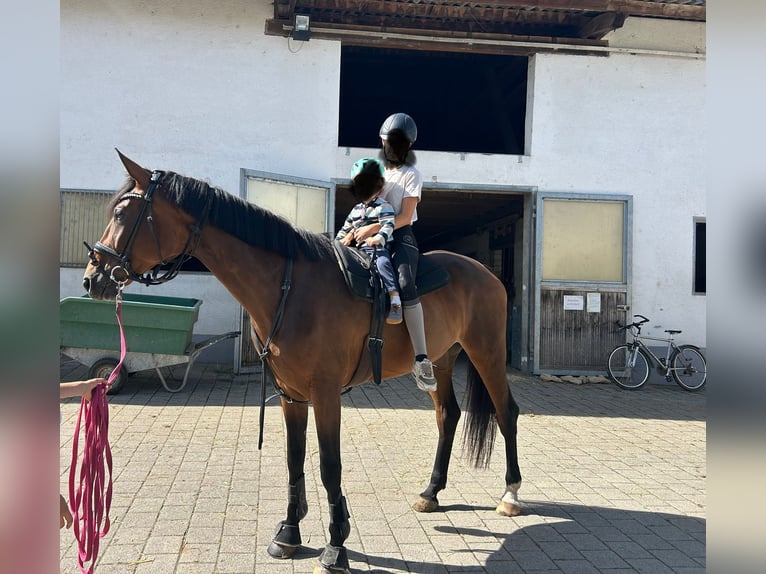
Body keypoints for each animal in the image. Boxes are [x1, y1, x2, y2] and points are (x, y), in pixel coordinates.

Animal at [82, 151, 523, 574]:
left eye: (122, 214)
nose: (92, 278)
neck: (290, 289)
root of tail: (485, 273)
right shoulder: (290, 395)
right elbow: (294, 461)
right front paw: (289, 533)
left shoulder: (325, 394)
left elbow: (329, 466)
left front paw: (336, 546)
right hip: (442, 360)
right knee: (448, 415)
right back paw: (430, 492)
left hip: (486, 352)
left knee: (506, 412)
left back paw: (510, 494)